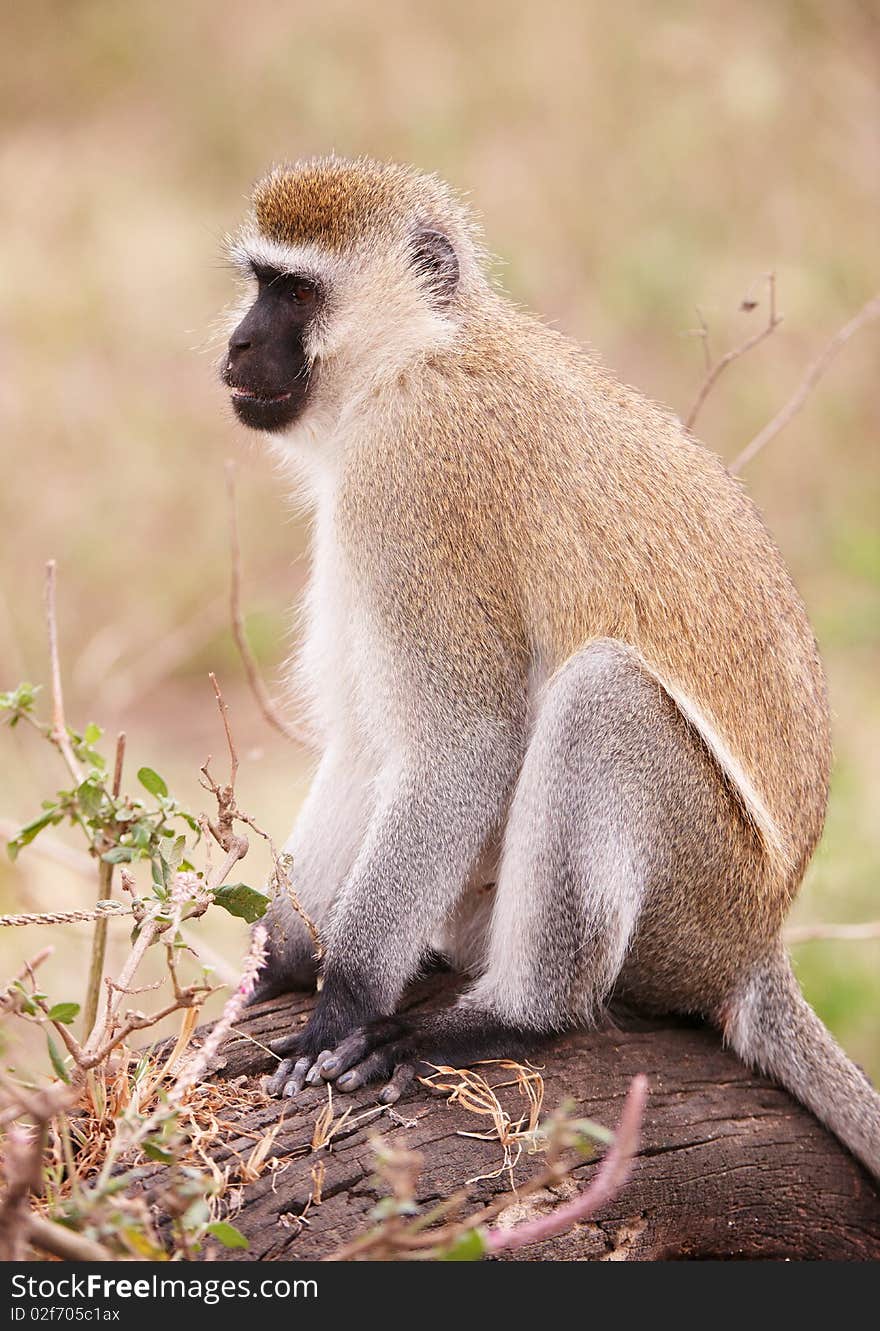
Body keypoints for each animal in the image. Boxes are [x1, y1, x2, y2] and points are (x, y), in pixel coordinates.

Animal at [220, 155, 878, 1176]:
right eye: (258, 282)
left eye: (295, 292)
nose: (238, 341)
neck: (416, 357)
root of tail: (755, 947)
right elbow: (368, 744)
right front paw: (286, 957)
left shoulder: (412, 483)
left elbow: (459, 746)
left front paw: (344, 1002)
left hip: (691, 910)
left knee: (605, 698)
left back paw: (515, 1016)